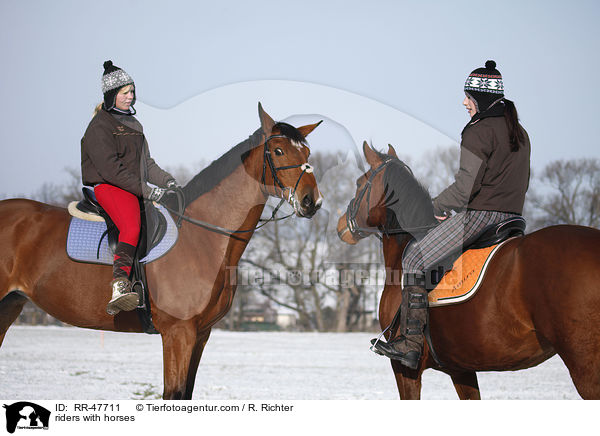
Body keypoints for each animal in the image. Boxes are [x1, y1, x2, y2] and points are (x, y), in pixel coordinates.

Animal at [0, 103, 324, 398]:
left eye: (307, 154)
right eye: (279, 151)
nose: (312, 202)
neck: (200, 237)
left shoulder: (200, 335)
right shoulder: (178, 333)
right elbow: (173, 394)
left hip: (10, 304)